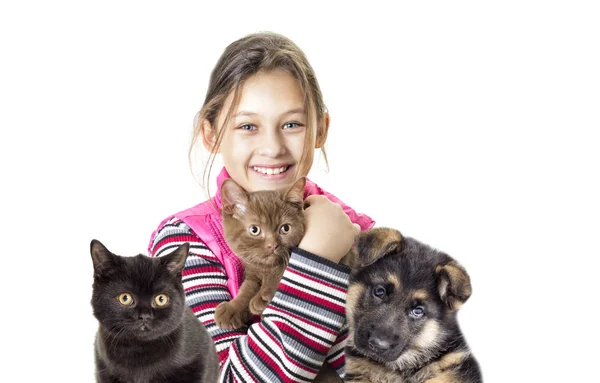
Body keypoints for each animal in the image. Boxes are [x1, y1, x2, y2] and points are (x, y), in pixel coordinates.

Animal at [214, 177, 308, 330]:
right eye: (254, 230)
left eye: (285, 228)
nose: (272, 245)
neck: (266, 268)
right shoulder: (252, 273)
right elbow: (246, 290)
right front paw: (232, 309)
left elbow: (281, 273)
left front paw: (263, 297)